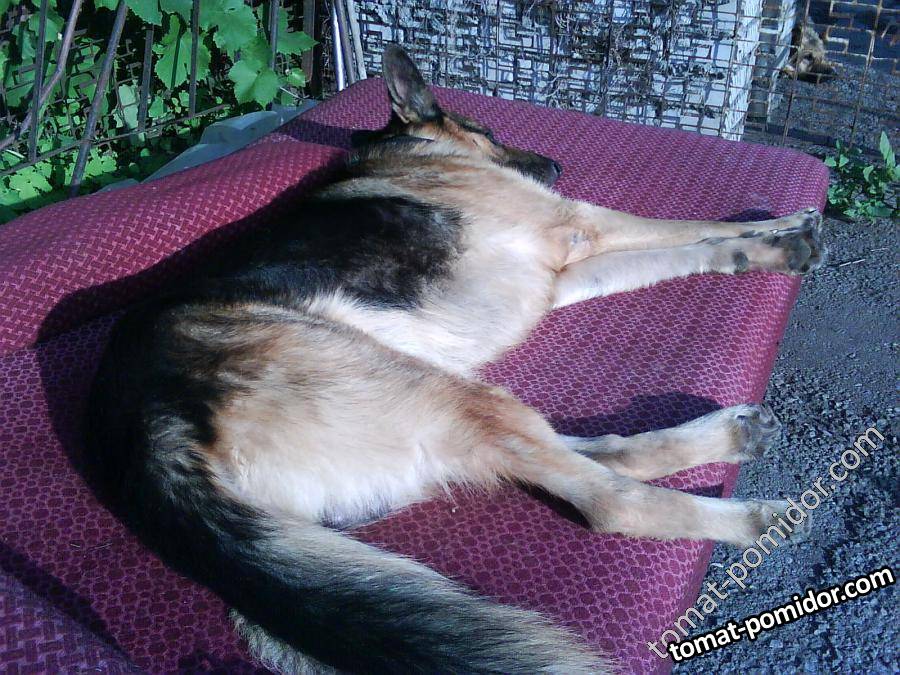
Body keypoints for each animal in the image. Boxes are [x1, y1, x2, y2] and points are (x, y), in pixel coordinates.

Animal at [85, 45, 825, 673]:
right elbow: (683, 230)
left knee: (593, 451)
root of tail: (143, 440)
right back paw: (758, 519)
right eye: (486, 128)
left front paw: (761, 245)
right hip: (423, 387)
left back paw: (732, 435)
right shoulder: (579, 224)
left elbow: (684, 249)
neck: (408, 147)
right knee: (609, 500)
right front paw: (779, 235)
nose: (556, 167)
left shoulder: (563, 271)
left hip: (427, 394)